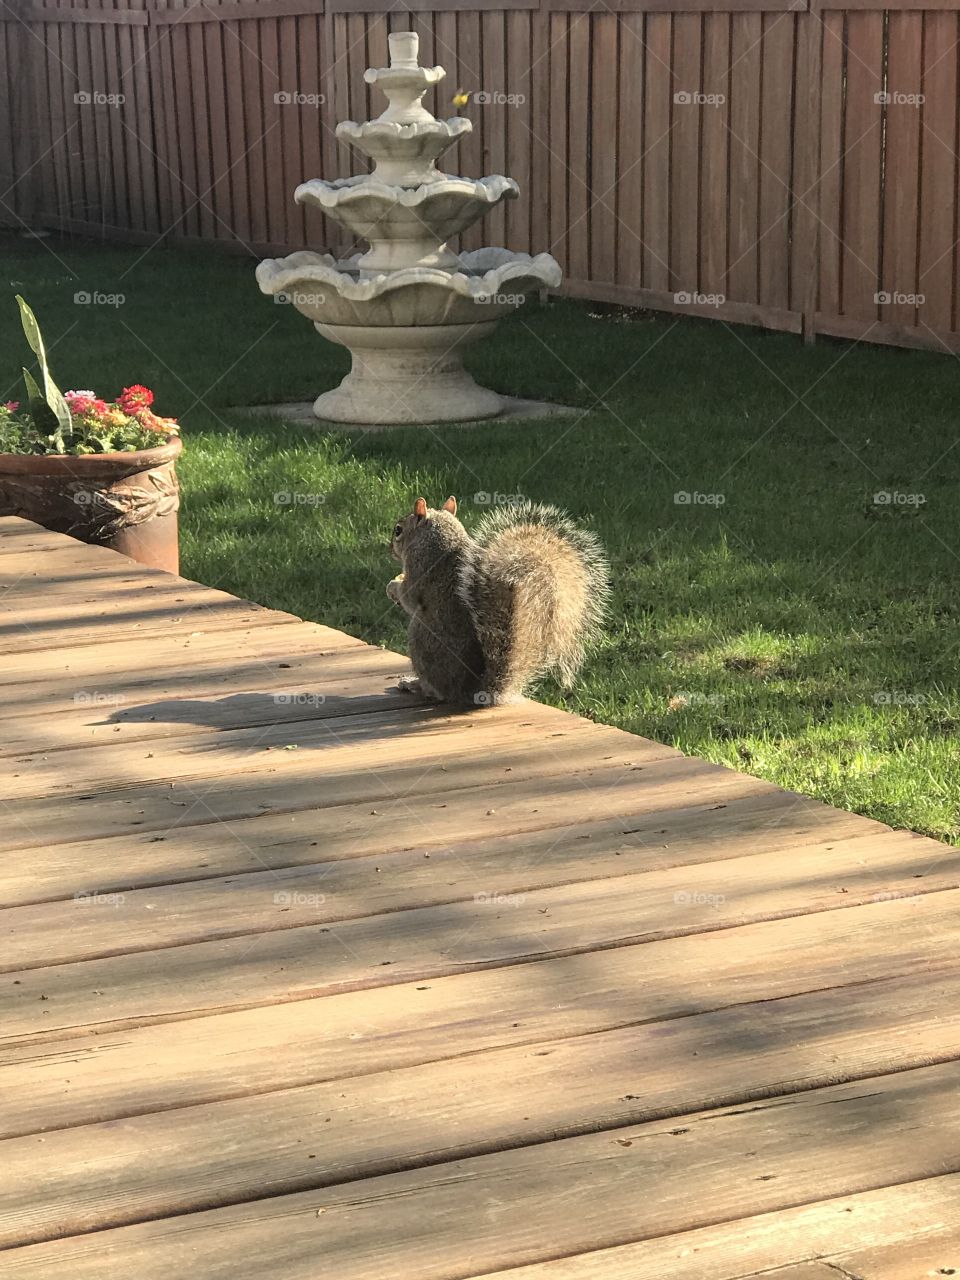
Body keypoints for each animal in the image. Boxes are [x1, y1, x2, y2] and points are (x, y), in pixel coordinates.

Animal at [387, 495, 608, 705]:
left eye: (398, 530)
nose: (390, 549)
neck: (439, 536)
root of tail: (470, 690)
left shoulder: (419, 567)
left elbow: (408, 596)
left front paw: (392, 586)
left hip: (419, 637)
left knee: (437, 691)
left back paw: (413, 683)